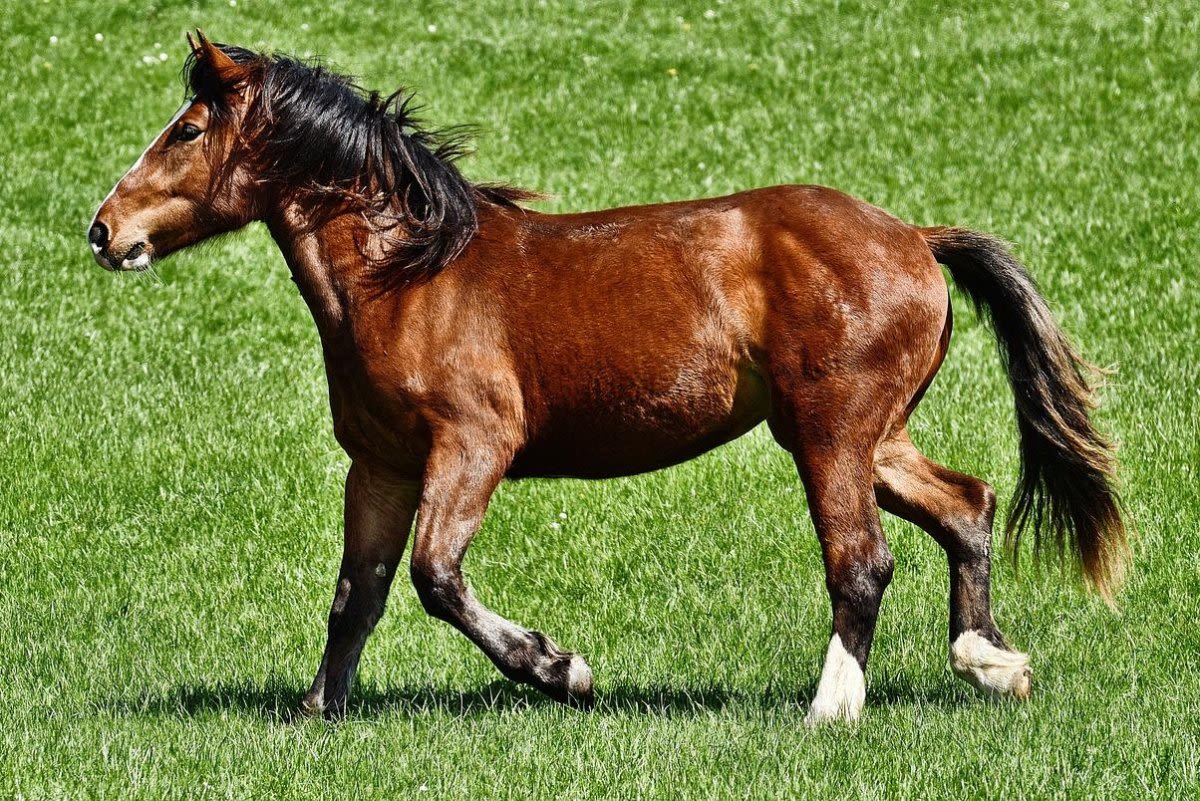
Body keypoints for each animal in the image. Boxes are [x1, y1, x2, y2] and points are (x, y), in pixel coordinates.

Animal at [87, 31, 1123, 724]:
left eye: (186, 132)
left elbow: (435, 577)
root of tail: (914, 236)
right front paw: (317, 709)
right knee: (968, 505)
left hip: (830, 433)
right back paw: (991, 662)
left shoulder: (473, 446)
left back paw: (831, 708)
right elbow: (359, 593)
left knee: (862, 560)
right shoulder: (379, 465)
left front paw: (562, 668)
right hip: (869, 434)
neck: (409, 276)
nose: (104, 231)